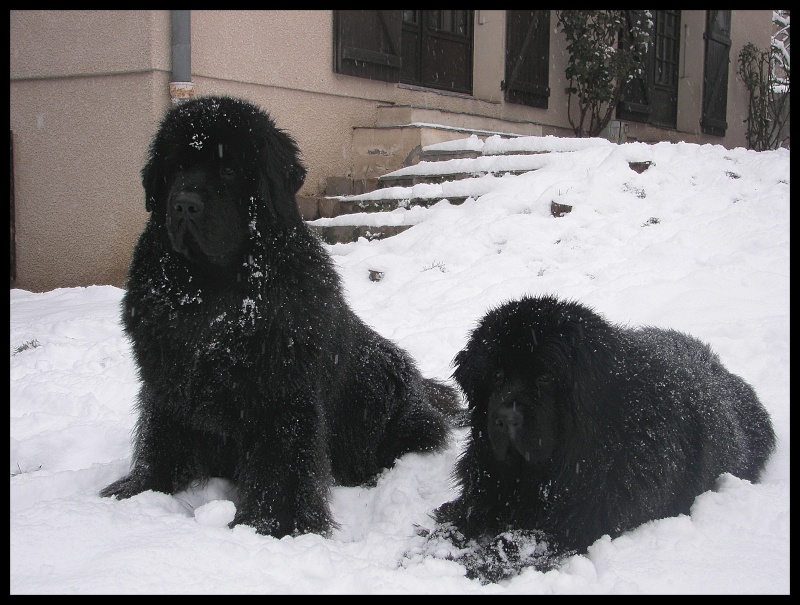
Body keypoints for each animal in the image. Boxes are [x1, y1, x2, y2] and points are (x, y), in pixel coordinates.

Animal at [102, 96, 460, 536]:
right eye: (176, 169)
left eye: (229, 169)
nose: (184, 204)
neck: (215, 292)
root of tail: (423, 390)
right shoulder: (167, 378)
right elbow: (161, 437)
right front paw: (140, 490)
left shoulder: (281, 394)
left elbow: (281, 462)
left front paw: (273, 524)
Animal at [432, 292, 776, 580]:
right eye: (496, 376)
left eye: (545, 377)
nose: (505, 418)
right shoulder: (488, 485)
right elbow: (458, 514)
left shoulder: (581, 518)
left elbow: (518, 540)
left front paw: (476, 561)